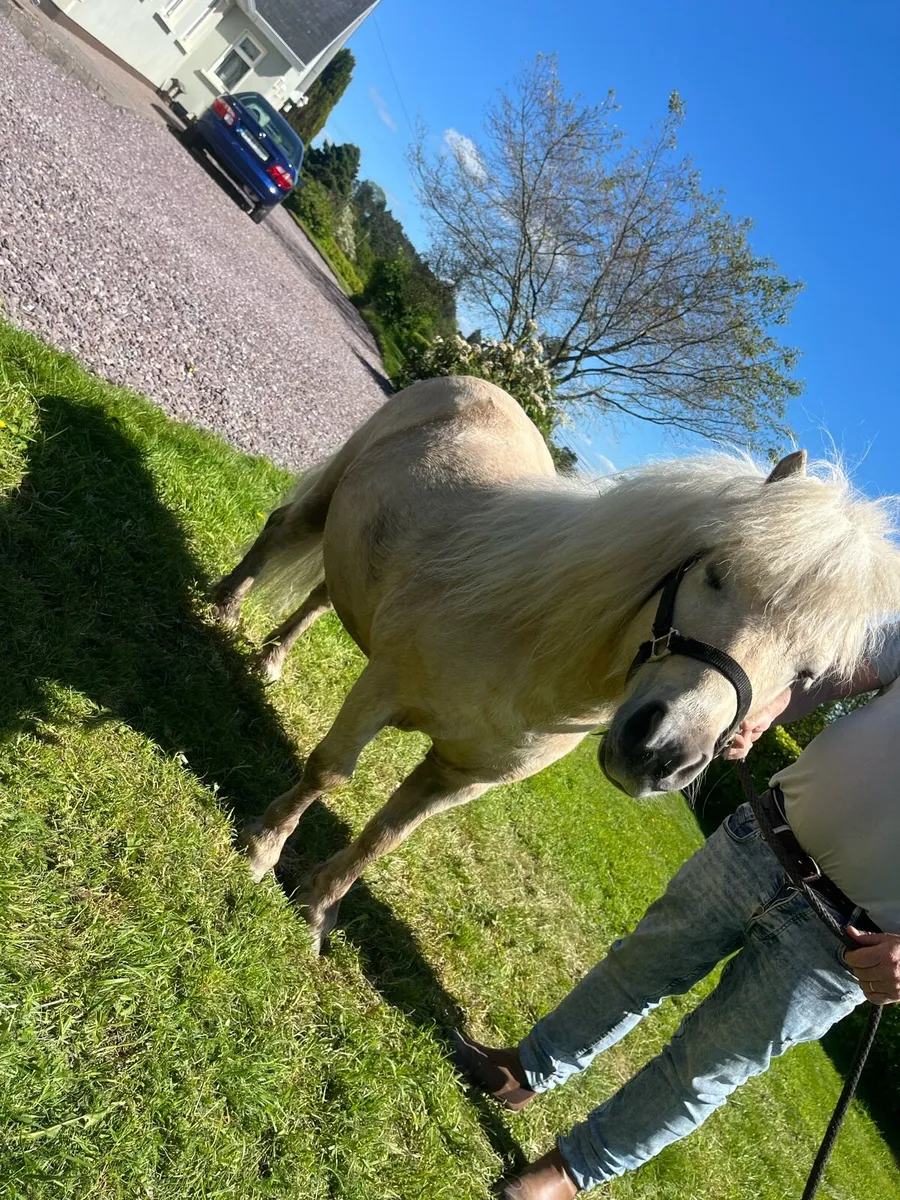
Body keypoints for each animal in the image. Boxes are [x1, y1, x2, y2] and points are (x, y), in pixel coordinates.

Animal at [211, 376, 900, 951]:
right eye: (716, 574)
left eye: (807, 674)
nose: (661, 753)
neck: (530, 650)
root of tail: (475, 382)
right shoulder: (380, 689)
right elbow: (330, 773)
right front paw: (259, 852)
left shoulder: (460, 777)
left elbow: (385, 837)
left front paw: (315, 913)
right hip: (325, 501)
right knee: (281, 531)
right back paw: (224, 607)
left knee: (323, 595)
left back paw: (271, 659)